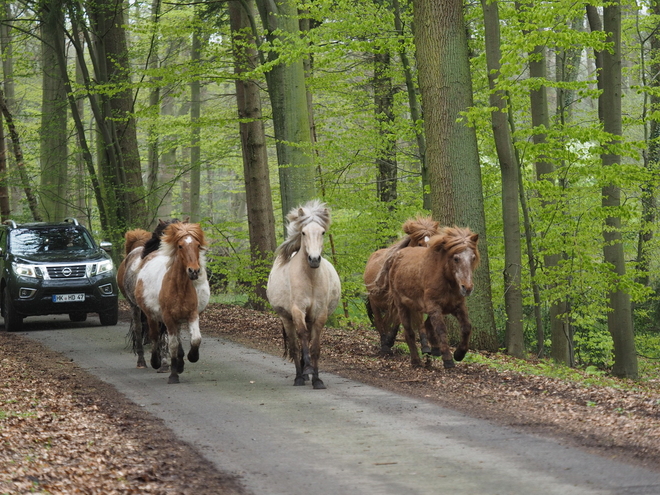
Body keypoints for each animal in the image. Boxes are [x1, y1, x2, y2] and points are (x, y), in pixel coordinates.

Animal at [136, 223, 213, 386]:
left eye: (197, 245)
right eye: (180, 246)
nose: (194, 271)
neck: (179, 287)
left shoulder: (192, 315)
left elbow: (196, 339)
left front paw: (192, 357)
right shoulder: (168, 318)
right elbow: (172, 345)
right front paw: (173, 375)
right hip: (152, 316)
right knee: (154, 337)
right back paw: (156, 362)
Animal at [266, 202, 340, 392]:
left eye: (322, 232)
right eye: (303, 233)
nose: (314, 259)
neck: (310, 278)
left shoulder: (319, 314)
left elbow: (315, 347)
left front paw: (317, 379)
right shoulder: (297, 311)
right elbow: (302, 340)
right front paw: (307, 369)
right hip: (286, 318)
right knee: (295, 345)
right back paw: (300, 376)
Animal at [364, 217, 440, 356]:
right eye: (420, 243)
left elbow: (410, 320)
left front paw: (426, 346)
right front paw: (388, 342)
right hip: (374, 301)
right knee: (379, 321)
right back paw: (384, 344)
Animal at [376, 227, 480, 370]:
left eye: (473, 258)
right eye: (456, 258)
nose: (467, 288)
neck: (445, 279)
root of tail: (397, 257)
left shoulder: (458, 306)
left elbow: (466, 327)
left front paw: (459, 354)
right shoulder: (434, 306)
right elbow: (441, 330)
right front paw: (448, 360)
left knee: (424, 326)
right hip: (402, 305)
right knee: (409, 332)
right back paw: (416, 360)